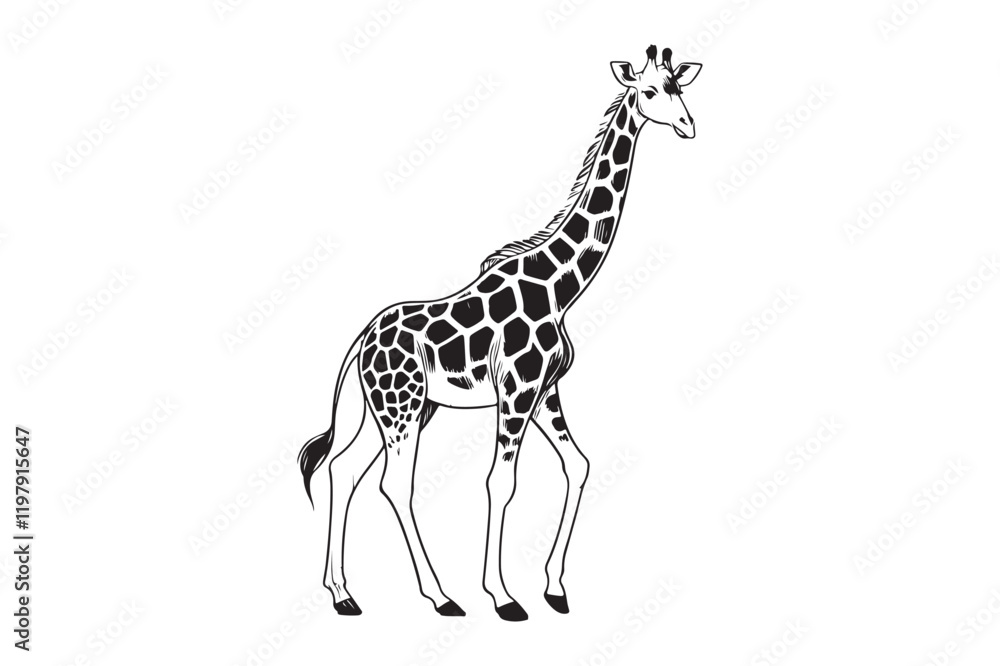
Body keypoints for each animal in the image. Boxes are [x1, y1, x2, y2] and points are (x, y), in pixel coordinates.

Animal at [299, 45, 702, 621]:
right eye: (649, 91)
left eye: (679, 87)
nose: (690, 126)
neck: (560, 287)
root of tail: (360, 343)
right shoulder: (516, 390)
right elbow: (501, 481)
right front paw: (504, 596)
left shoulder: (545, 390)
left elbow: (578, 466)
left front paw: (554, 587)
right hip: (401, 408)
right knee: (394, 483)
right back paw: (441, 595)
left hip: (394, 409)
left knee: (343, 469)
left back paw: (343, 593)